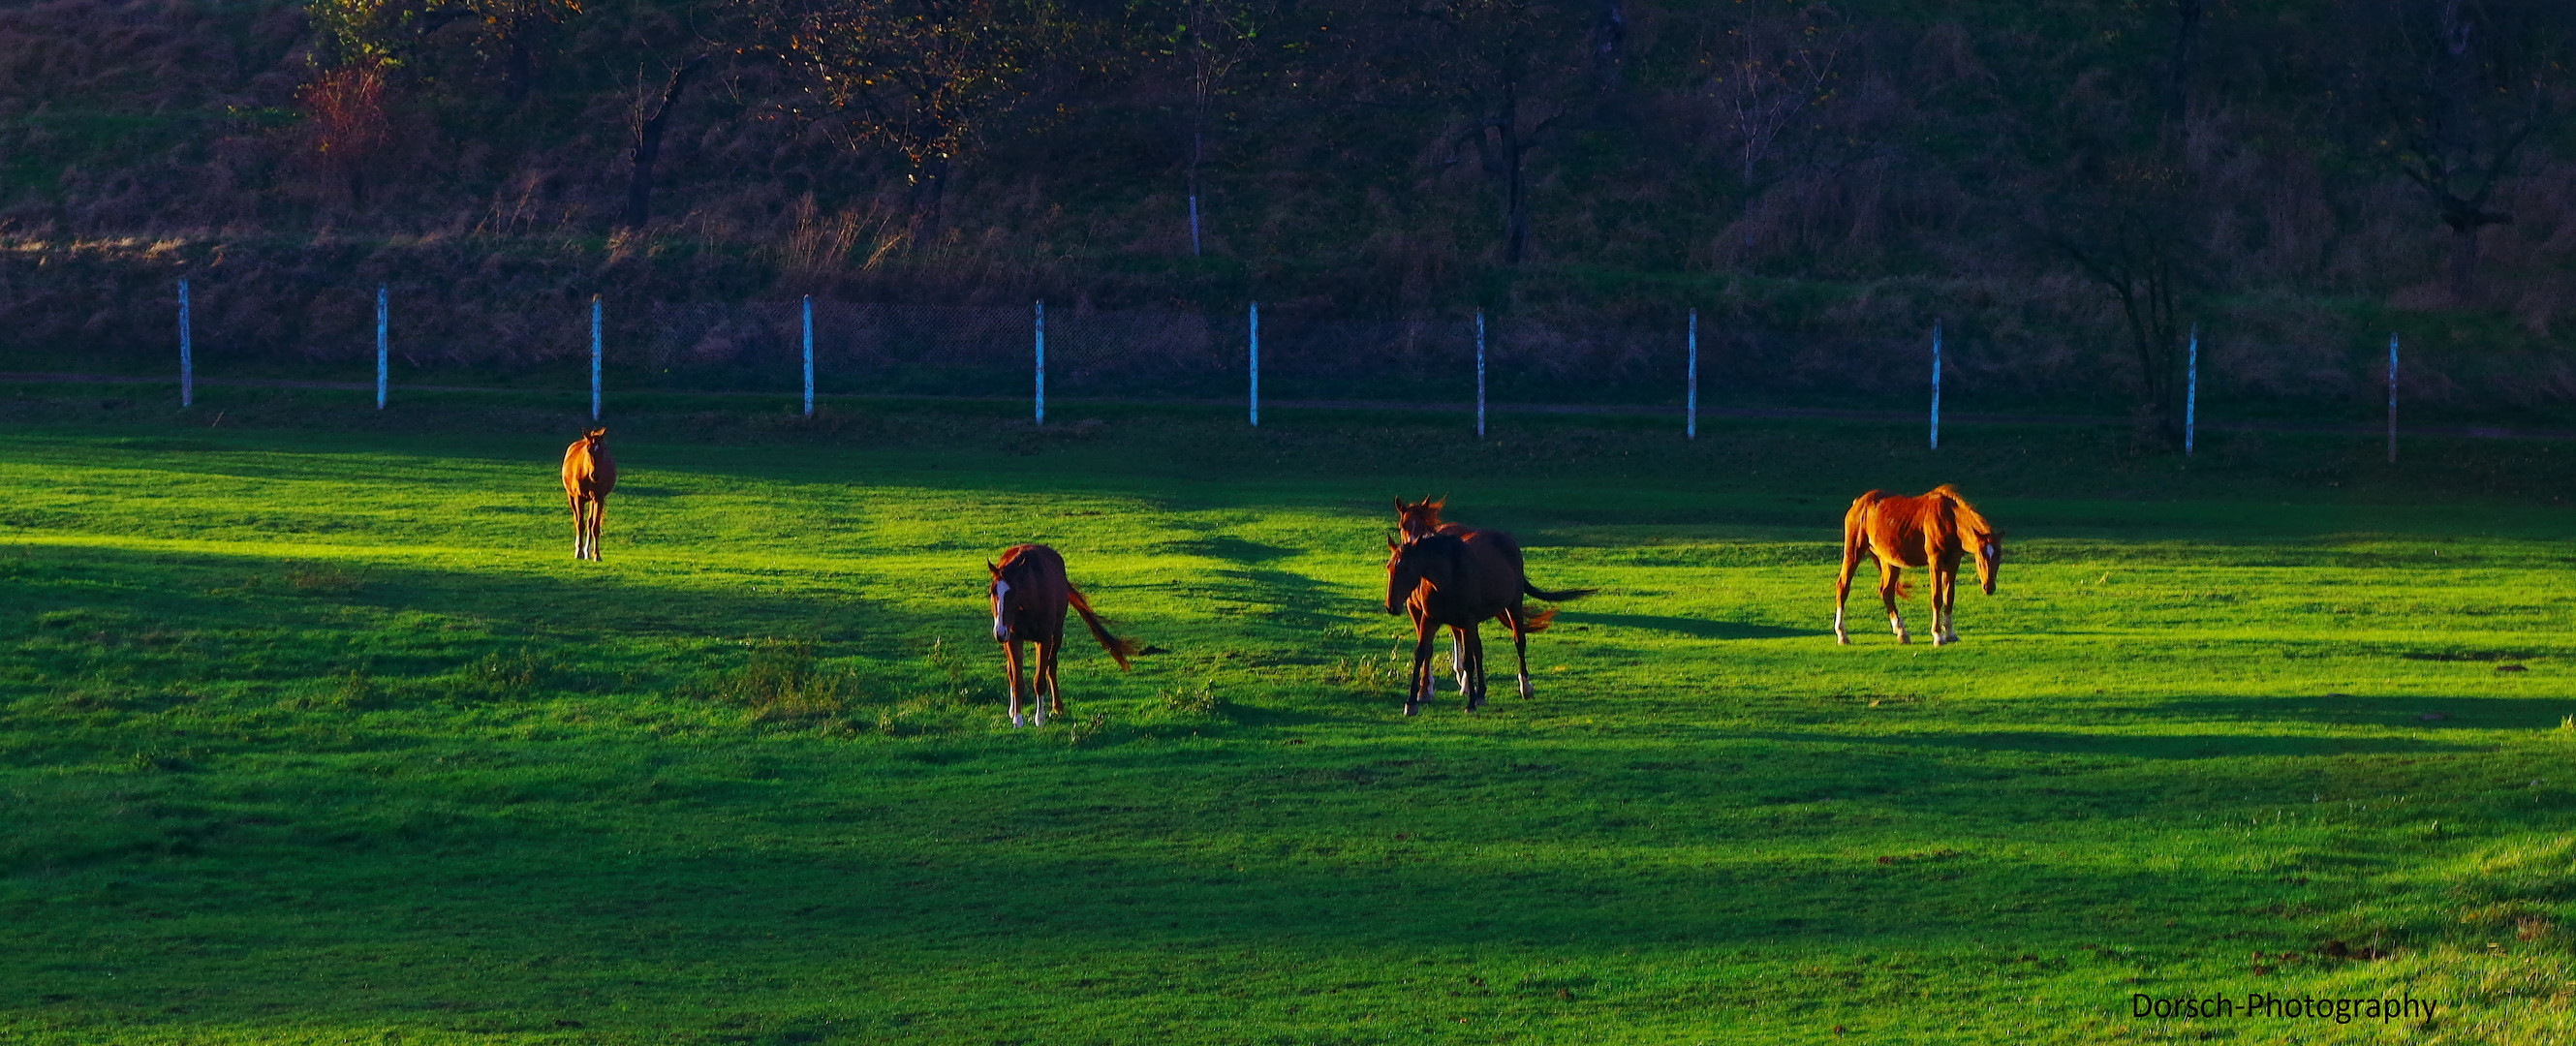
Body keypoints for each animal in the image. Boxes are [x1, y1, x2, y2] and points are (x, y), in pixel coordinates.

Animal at [561, 424, 615, 559]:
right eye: (588, 449)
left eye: (603, 450)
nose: (595, 475)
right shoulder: (578, 498)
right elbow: (580, 524)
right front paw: (579, 553)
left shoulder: (599, 498)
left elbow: (595, 526)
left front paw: (596, 555)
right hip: (571, 497)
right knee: (577, 520)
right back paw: (579, 549)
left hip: (592, 499)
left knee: (590, 522)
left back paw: (587, 551)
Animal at [989, 548, 1143, 726]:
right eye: (992, 592)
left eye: (1013, 593)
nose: (998, 632)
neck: (1029, 600)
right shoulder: (1013, 639)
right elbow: (1017, 680)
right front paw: (1018, 719)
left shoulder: (1044, 639)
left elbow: (1040, 680)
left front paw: (1039, 718)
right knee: (1011, 671)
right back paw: (1013, 709)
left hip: (1056, 634)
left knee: (1051, 667)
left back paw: (1057, 707)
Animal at [1390, 517, 1586, 716]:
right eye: (1389, 567)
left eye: (1405, 567)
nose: (1391, 606)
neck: (1448, 577)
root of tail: (1507, 539)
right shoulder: (1430, 619)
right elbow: (1421, 653)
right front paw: (1412, 702)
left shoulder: (1467, 622)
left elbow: (1468, 661)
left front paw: (1470, 703)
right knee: (1479, 650)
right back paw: (1481, 694)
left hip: (1513, 605)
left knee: (1519, 642)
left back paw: (1525, 687)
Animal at [1834, 484, 2009, 646]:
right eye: (1980, 559)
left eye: (1999, 557)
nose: (1989, 587)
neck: (1949, 518)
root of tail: (1858, 503)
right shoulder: (1935, 562)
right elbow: (1937, 598)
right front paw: (1938, 636)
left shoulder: (1953, 563)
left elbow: (1949, 597)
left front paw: (1950, 634)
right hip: (1853, 551)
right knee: (1843, 587)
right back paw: (1842, 635)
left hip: (1889, 560)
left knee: (1887, 592)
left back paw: (1902, 632)